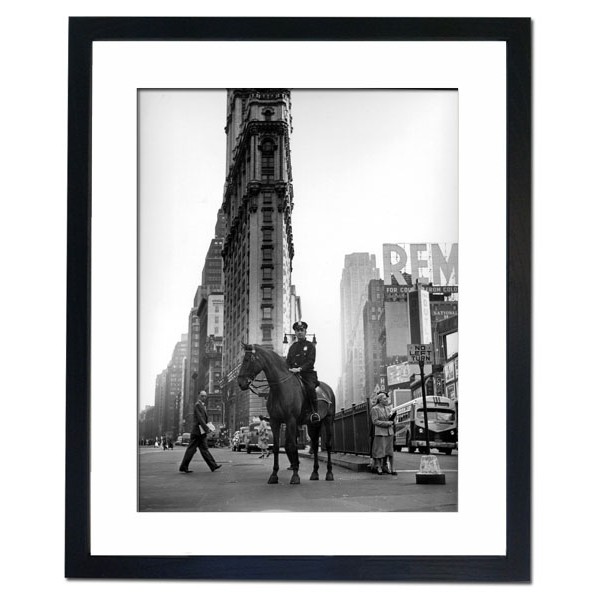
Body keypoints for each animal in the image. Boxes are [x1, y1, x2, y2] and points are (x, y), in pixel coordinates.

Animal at [237, 344, 336, 486]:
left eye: (247, 360)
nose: (240, 383)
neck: (280, 387)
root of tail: (328, 389)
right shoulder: (275, 421)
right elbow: (276, 447)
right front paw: (274, 475)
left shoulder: (291, 420)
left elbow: (292, 446)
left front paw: (295, 476)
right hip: (313, 424)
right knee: (315, 444)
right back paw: (315, 473)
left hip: (328, 420)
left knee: (327, 445)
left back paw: (329, 473)